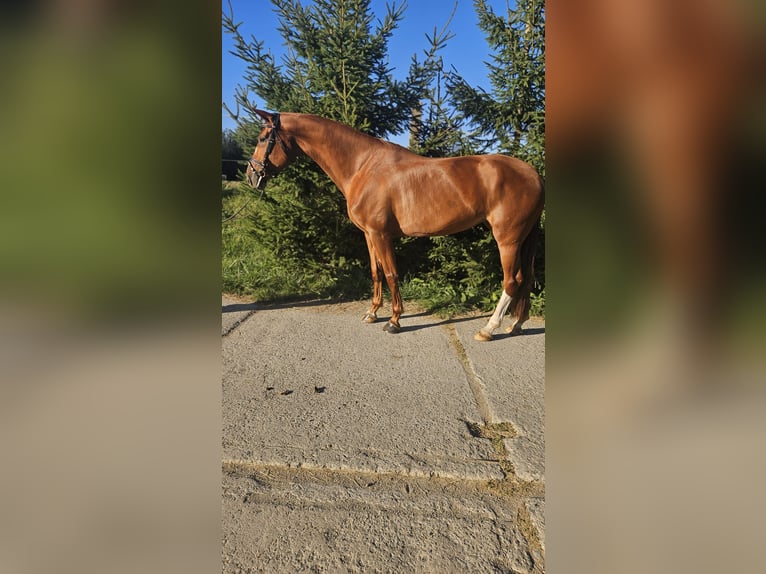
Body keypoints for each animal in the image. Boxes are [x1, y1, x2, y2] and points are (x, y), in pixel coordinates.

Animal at [248, 110, 544, 340]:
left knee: (512, 280)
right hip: (524, 238)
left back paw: (489, 328)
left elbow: (391, 274)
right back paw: (516, 324)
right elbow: (376, 272)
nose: (252, 176)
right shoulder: (369, 235)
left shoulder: (381, 234)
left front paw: (394, 321)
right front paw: (372, 313)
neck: (363, 165)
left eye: (263, 138)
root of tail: (534, 174)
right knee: (528, 278)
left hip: (507, 239)